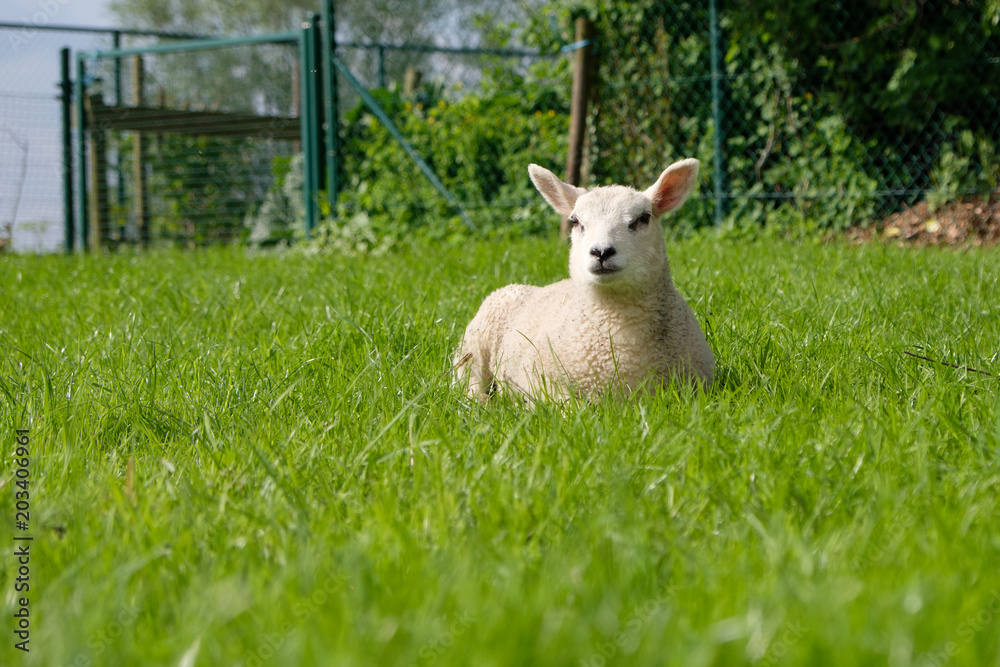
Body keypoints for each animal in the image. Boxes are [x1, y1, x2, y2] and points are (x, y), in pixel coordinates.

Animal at [453, 158, 715, 401]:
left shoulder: (699, 386)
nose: (601, 252)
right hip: (474, 345)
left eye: (643, 218)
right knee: (469, 381)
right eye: (576, 221)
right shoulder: (549, 388)